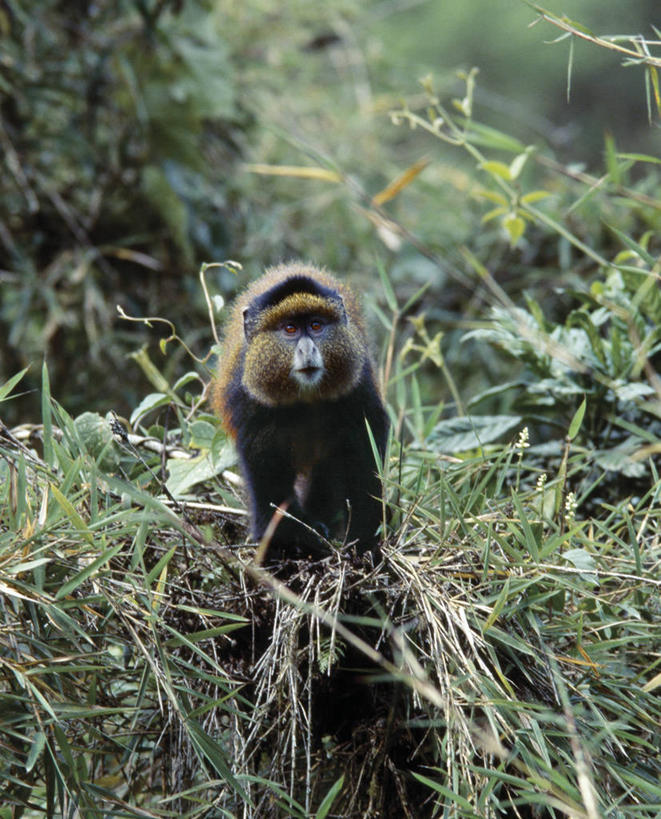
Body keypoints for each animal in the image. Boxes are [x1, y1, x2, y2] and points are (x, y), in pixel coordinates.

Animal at [213, 262, 386, 556]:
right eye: (290, 329)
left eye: (316, 325)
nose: (307, 350)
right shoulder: (249, 401)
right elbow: (265, 471)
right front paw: (289, 538)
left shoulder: (358, 384)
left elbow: (366, 448)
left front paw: (362, 540)